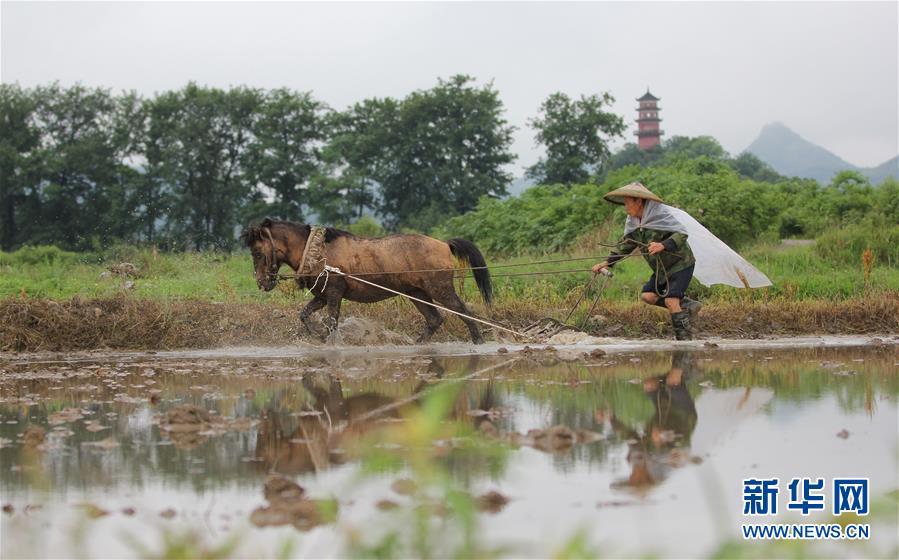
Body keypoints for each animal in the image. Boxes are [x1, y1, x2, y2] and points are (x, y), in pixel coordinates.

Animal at [241, 218, 492, 342]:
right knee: (434, 320)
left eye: (257, 252)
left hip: (440, 289)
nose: (262, 283)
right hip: (417, 293)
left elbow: (332, 322)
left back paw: (478, 342)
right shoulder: (322, 296)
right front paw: (317, 335)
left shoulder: (334, 292)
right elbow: (303, 315)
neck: (317, 250)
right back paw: (418, 344)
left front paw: (329, 341)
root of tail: (444, 244)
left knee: (464, 313)